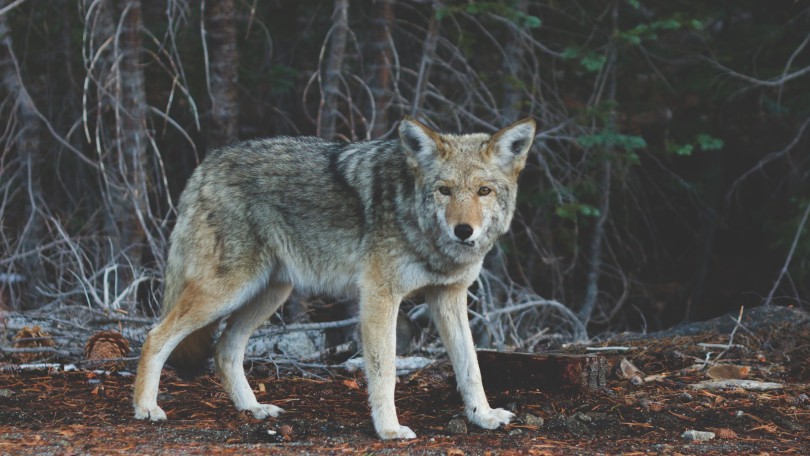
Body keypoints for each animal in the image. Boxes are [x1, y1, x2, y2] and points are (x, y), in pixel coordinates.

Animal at [133, 117, 537, 440]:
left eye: (483, 191)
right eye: (445, 190)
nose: (464, 230)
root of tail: (207, 163)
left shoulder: (448, 297)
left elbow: (471, 366)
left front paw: (483, 416)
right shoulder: (379, 297)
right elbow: (385, 370)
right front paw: (389, 430)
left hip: (269, 293)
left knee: (224, 349)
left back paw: (254, 409)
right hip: (227, 291)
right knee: (155, 336)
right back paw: (146, 408)